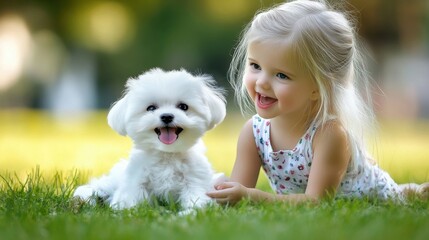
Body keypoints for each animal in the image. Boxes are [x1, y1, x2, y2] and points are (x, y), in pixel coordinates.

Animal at [72, 67, 227, 210]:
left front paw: (188, 213)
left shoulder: (195, 180)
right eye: (151, 108)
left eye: (183, 106)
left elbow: (196, 200)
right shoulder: (135, 181)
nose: (167, 116)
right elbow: (129, 201)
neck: (167, 154)